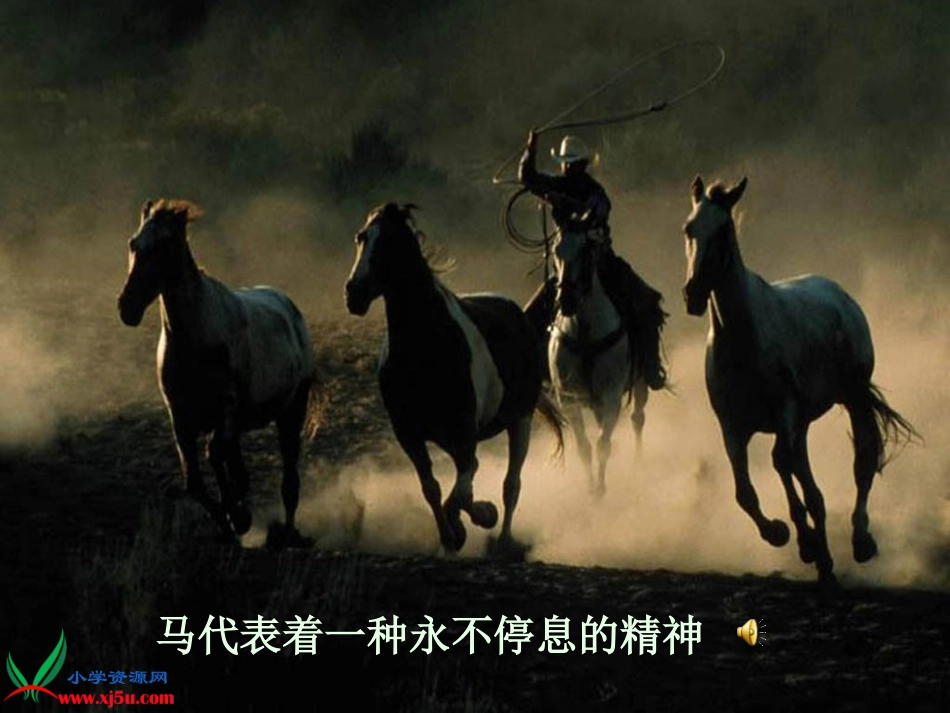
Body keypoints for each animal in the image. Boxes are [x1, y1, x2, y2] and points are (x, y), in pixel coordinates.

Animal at [118, 199, 320, 546]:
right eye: (134, 243)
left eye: (166, 245)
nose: (127, 307)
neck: (195, 339)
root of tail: (289, 307)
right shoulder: (181, 419)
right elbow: (196, 482)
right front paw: (230, 521)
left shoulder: (226, 409)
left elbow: (219, 460)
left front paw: (239, 516)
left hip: (290, 414)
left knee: (289, 483)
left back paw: (287, 534)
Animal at [344, 203, 564, 556]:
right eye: (361, 237)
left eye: (391, 242)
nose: (354, 294)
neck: (427, 347)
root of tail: (519, 314)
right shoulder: (409, 434)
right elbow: (433, 489)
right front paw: (450, 536)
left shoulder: (464, 431)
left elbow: (460, 493)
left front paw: (476, 520)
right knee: (475, 473)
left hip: (521, 420)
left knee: (511, 484)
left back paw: (503, 541)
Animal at [545, 228, 650, 497]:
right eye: (556, 250)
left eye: (586, 250)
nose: (566, 299)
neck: (586, 332)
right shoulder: (569, 400)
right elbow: (584, 446)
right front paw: (592, 489)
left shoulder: (611, 395)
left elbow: (603, 443)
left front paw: (601, 488)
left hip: (640, 382)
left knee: (637, 418)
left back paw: (638, 463)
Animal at [682, 175, 919, 584]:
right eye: (689, 229)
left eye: (723, 230)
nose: (693, 295)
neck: (743, 341)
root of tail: (840, 294)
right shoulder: (732, 427)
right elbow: (745, 491)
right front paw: (782, 534)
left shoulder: (785, 414)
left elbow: (781, 463)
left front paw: (804, 540)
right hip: (804, 422)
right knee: (805, 477)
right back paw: (823, 558)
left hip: (852, 398)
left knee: (860, 462)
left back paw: (859, 541)